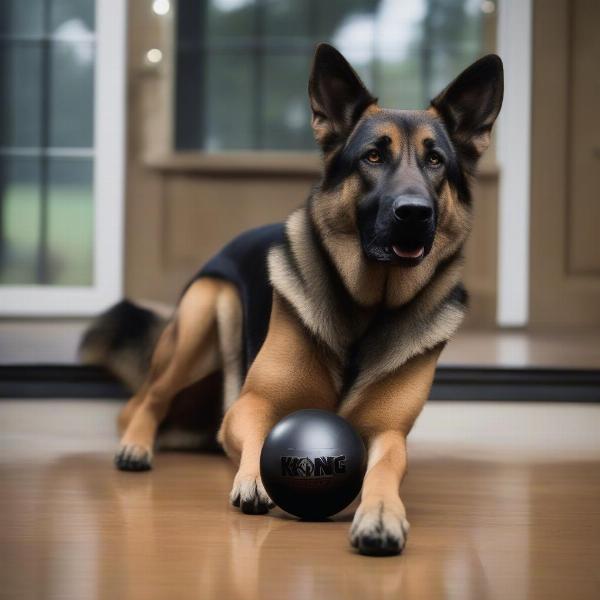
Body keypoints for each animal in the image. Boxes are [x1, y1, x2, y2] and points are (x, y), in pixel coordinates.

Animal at [81, 44, 502, 556]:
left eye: (436, 161)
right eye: (374, 156)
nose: (414, 213)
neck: (368, 307)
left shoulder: (390, 433)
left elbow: (386, 466)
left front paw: (382, 512)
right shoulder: (253, 403)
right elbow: (258, 434)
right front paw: (253, 479)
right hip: (204, 312)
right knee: (145, 400)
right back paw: (137, 445)